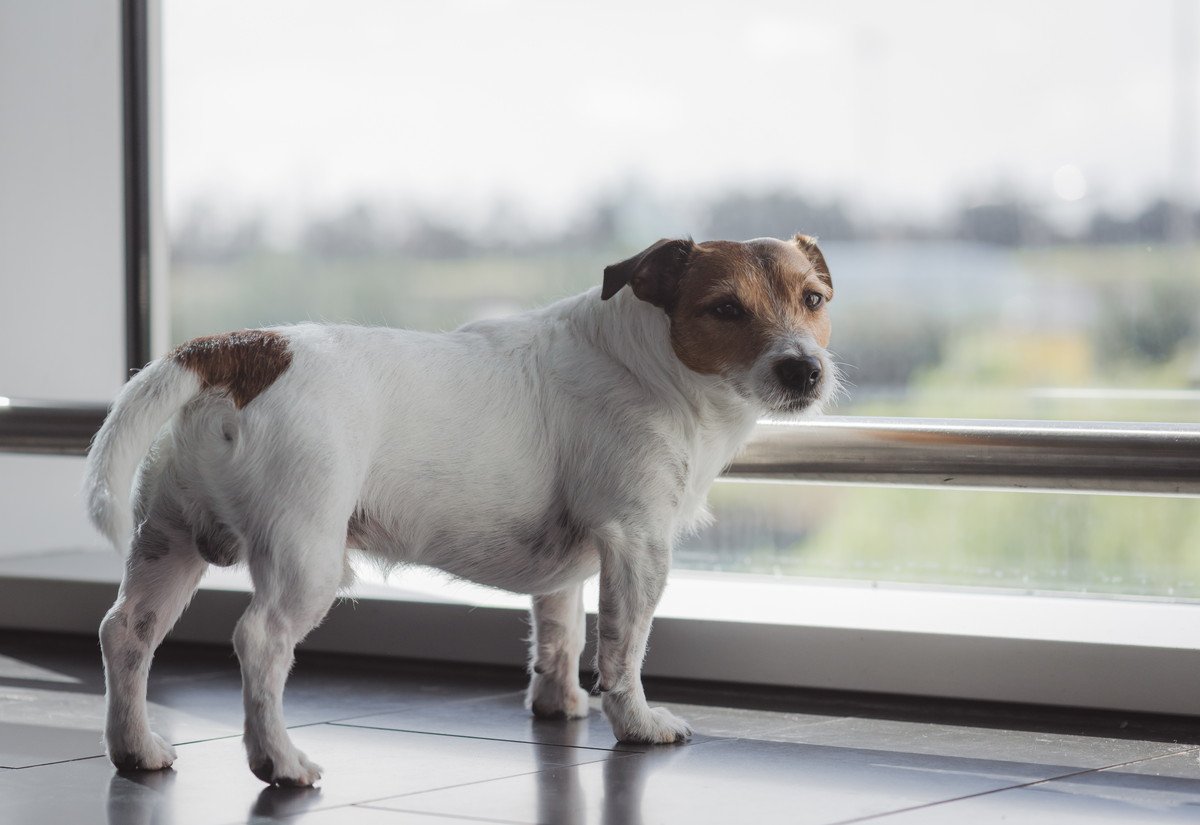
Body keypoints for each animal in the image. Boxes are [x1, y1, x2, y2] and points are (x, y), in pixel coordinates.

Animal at [82, 232, 835, 786]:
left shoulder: (571, 566)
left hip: (167, 542)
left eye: (814, 298)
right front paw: (639, 724)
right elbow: (624, 649)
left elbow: (559, 634)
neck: (647, 362)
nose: (805, 370)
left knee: (126, 631)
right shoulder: (638, 542)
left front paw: (559, 705)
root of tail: (236, 350)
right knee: (260, 641)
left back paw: (135, 747)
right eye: (726, 309)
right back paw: (280, 761)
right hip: (305, 559)